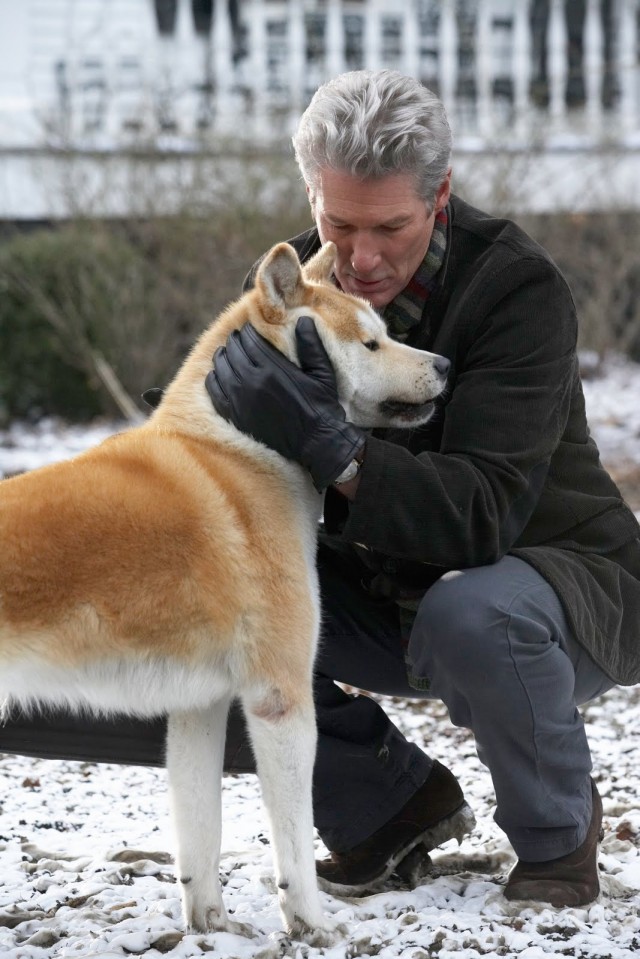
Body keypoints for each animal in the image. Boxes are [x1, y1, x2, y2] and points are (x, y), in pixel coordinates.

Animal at [0, 242, 450, 944]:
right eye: (371, 343)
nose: (445, 365)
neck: (242, 449)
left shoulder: (199, 709)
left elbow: (200, 839)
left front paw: (211, 925)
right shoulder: (279, 700)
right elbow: (291, 846)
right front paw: (311, 927)